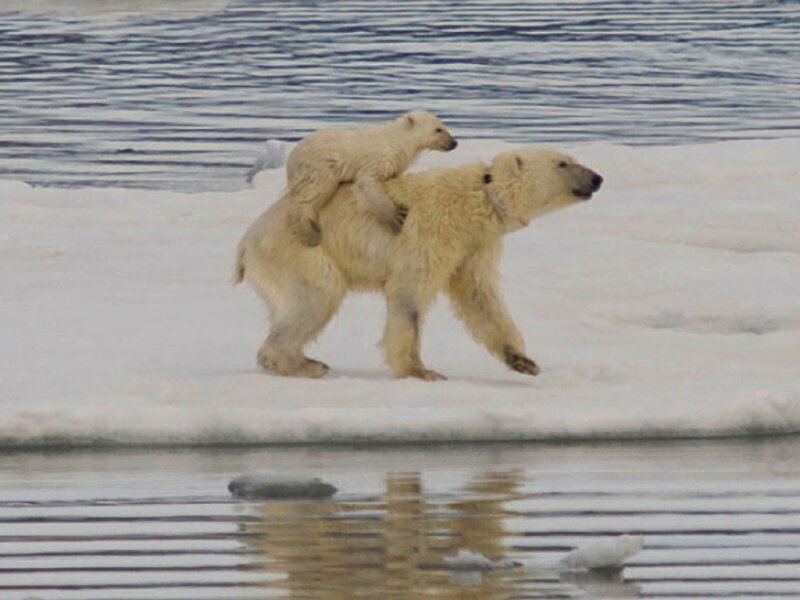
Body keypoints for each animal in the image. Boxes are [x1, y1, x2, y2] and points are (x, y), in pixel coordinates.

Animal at [234, 148, 603, 380]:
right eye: (562, 163)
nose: (597, 178)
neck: (476, 202)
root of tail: (246, 242)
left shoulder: (475, 245)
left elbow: (479, 297)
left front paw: (523, 361)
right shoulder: (434, 229)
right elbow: (409, 293)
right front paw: (420, 370)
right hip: (302, 252)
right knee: (317, 296)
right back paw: (300, 363)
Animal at [283, 110, 457, 247]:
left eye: (443, 126)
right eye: (438, 129)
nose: (454, 143)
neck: (397, 140)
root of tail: (290, 160)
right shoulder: (379, 158)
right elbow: (367, 182)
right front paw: (397, 217)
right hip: (319, 167)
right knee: (313, 193)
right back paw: (310, 234)